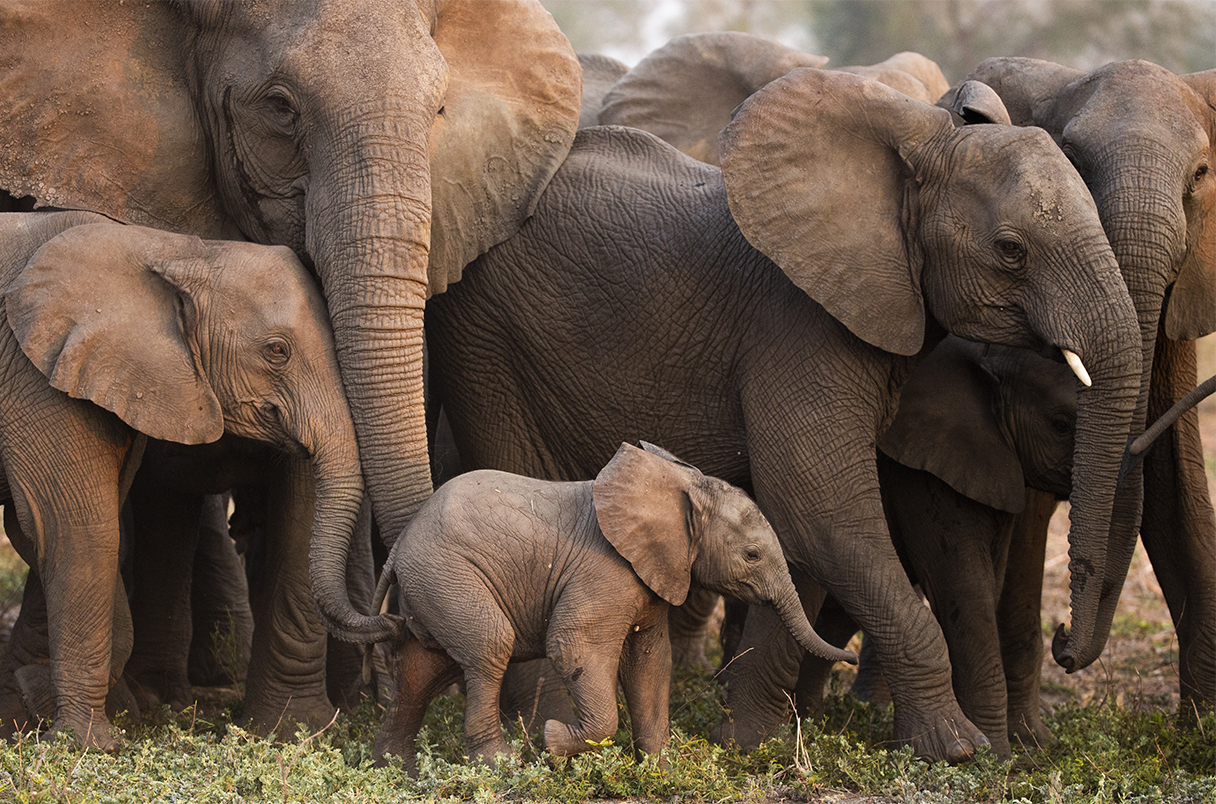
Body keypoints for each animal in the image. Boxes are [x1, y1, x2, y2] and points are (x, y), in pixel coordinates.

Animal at [335, 442, 856, 773]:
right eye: (751, 555)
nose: (850, 656)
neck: (679, 484)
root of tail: (401, 546)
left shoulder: (650, 579)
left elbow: (651, 662)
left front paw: (659, 771)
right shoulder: (606, 571)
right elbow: (573, 646)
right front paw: (551, 741)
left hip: (435, 585)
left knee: (424, 668)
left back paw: (394, 767)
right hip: (448, 574)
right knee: (487, 647)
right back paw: (500, 764)